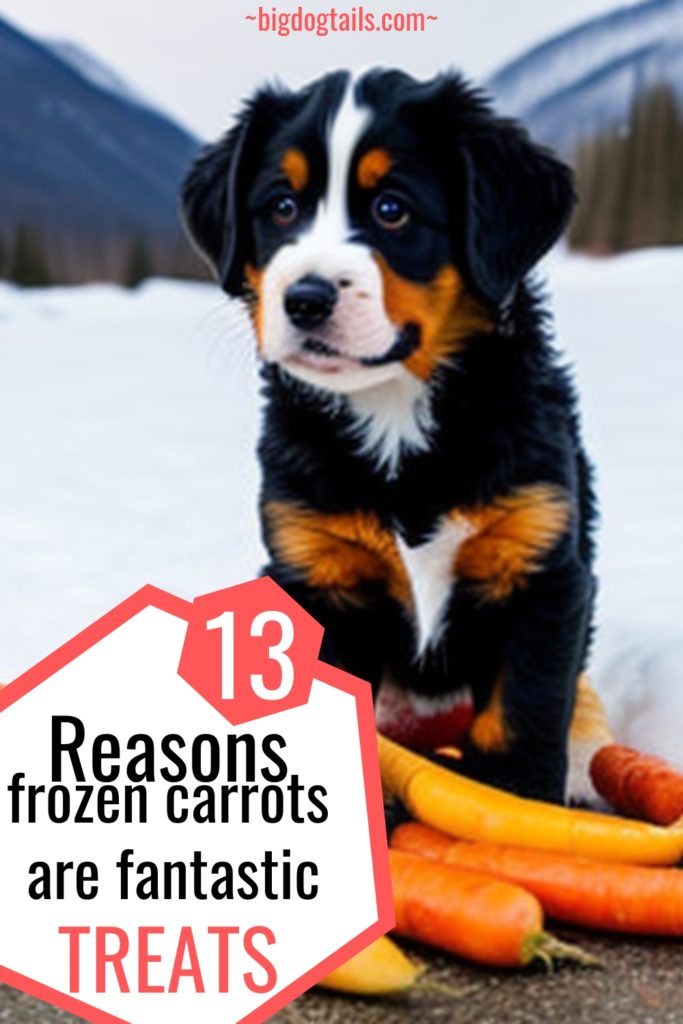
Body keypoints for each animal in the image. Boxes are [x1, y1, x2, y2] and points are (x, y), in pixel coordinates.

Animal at [181, 68, 598, 802]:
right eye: (281, 207)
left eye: (392, 209)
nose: (305, 299)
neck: (395, 415)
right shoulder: (319, 571)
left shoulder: (537, 566)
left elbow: (521, 719)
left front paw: (512, 804)